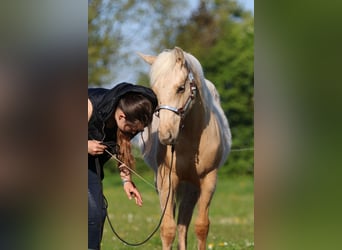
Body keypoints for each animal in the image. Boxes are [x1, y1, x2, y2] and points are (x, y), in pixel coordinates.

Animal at [138, 47, 231, 250]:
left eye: (181, 87)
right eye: (155, 91)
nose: (166, 135)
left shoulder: (208, 180)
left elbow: (201, 226)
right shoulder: (166, 179)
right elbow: (167, 228)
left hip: (192, 187)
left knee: (183, 224)